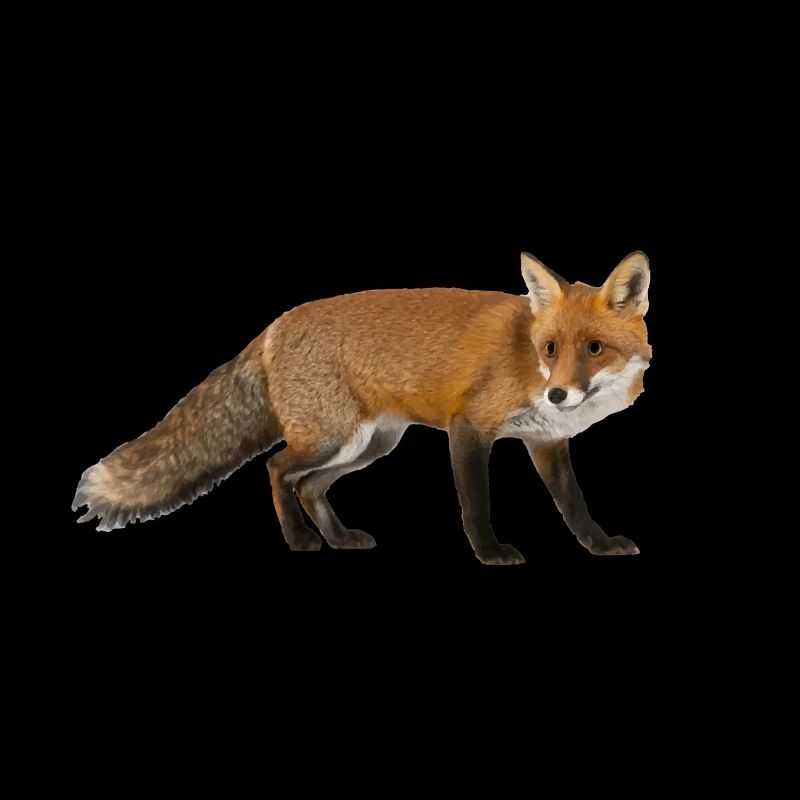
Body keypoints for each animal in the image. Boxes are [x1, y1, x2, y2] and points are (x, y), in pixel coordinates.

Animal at [72, 251, 652, 564]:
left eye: (594, 349)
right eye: (550, 349)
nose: (558, 395)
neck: (526, 360)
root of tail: (274, 325)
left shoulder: (547, 441)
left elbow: (575, 506)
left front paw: (600, 545)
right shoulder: (468, 427)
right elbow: (476, 505)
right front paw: (490, 553)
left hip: (371, 444)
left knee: (308, 485)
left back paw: (337, 538)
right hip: (334, 437)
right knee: (276, 468)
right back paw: (300, 540)